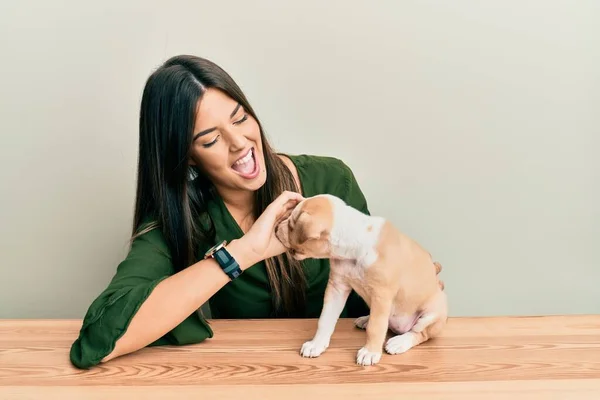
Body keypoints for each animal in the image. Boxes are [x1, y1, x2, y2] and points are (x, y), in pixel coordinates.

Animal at [276, 194, 446, 366]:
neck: (354, 244)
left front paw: (370, 352)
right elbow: (325, 319)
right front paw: (316, 344)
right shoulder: (337, 287)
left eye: (291, 224)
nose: (276, 227)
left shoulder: (381, 295)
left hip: (432, 314)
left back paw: (399, 342)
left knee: (419, 333)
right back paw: (366, 319)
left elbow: (376, 327)